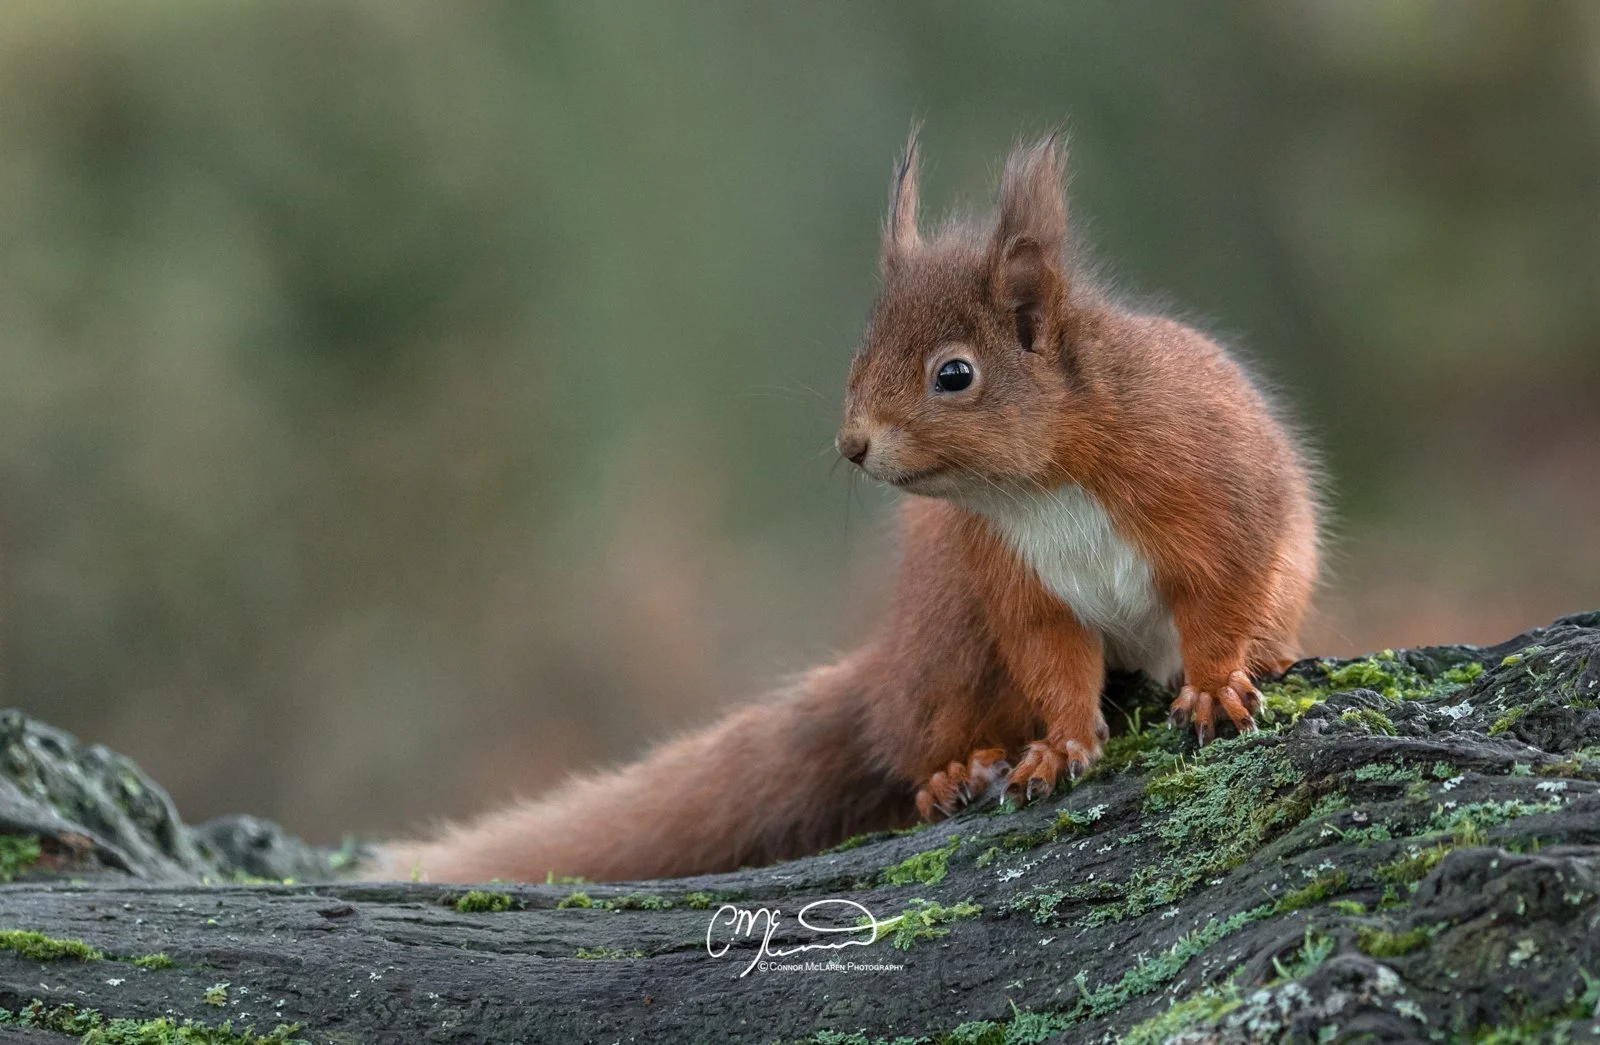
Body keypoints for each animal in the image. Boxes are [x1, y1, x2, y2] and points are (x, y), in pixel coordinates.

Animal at [368, 135, 1321, 884]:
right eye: (861, 349)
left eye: (954, 374)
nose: (852, 444)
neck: (1041, 488)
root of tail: (888, 664)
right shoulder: (1016, 582)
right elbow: (1054, 663)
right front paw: (1060, 744)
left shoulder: (1219, 505)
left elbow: (1221, 603)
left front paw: (1215, 686)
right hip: (953, 644)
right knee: (911, 737)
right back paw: (955, 772)